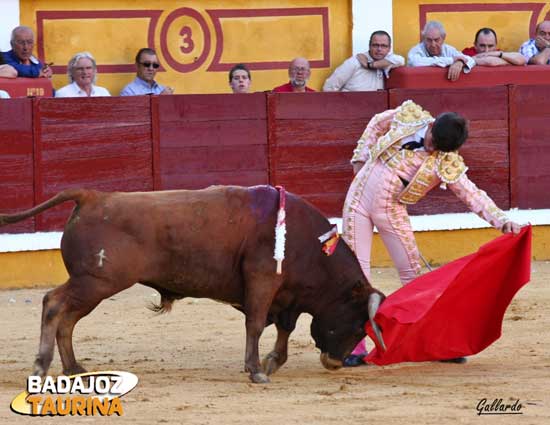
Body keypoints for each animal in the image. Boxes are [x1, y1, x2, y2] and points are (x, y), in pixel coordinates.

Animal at [0, 186, 386, 384]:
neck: (308, 244)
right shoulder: (263, 282)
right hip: (96, 281)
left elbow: (284, 329)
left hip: (93, 285)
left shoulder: (285, 296)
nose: (335, 363)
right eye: (358, 325)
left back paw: (74, 369)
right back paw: (42, 366)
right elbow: (256, 325)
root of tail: (92, 196)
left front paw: (271, 362)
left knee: (67, 317)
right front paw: (256, 370)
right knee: (54, 304)